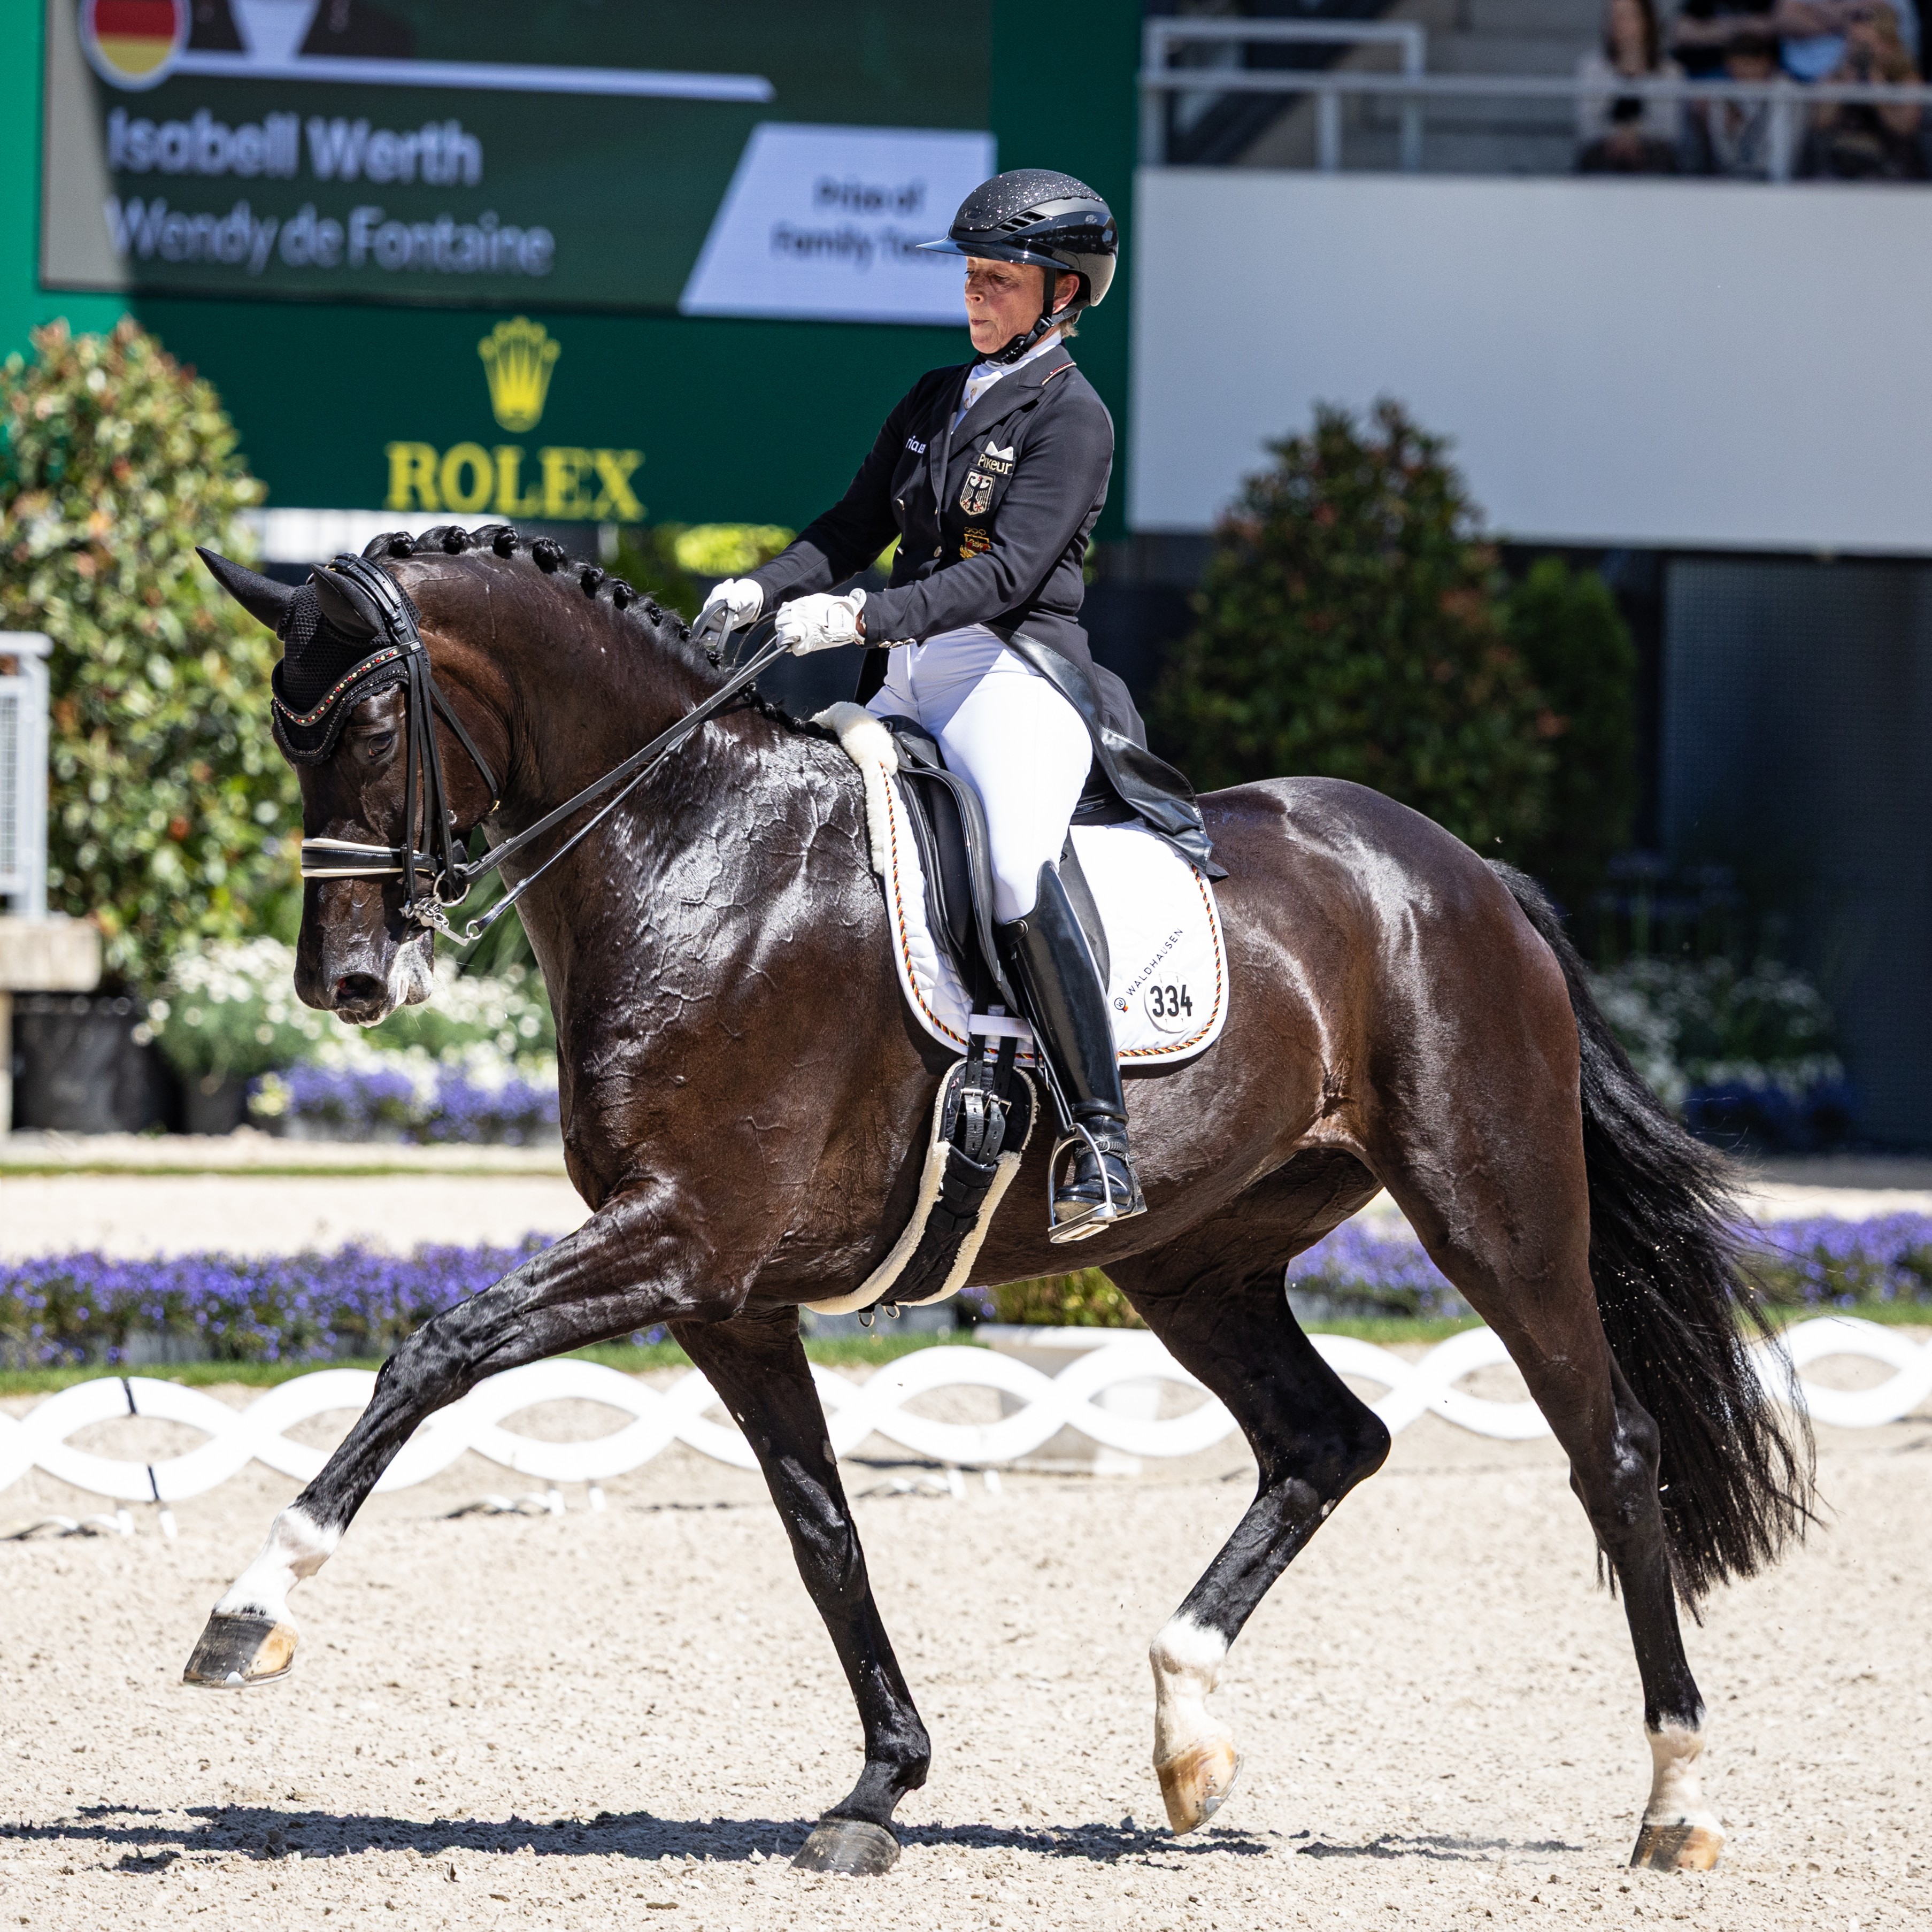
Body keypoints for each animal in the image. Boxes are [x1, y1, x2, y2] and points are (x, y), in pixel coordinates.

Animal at [187, 523, 1810, 1878]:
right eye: (280, 730)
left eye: (369, 724)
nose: (345, 984)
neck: (696, 853)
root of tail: (1463, 870)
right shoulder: (727, 1295)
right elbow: (821, 1526)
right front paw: (877, 1787)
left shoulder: (682, 1236)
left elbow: (435, 1350)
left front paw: (251, 1609)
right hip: (1197, 1260)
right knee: (1324, 1440)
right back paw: (1186, 1737)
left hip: (1492, 1209)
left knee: (1610, 1451)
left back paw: (1674, 1803)